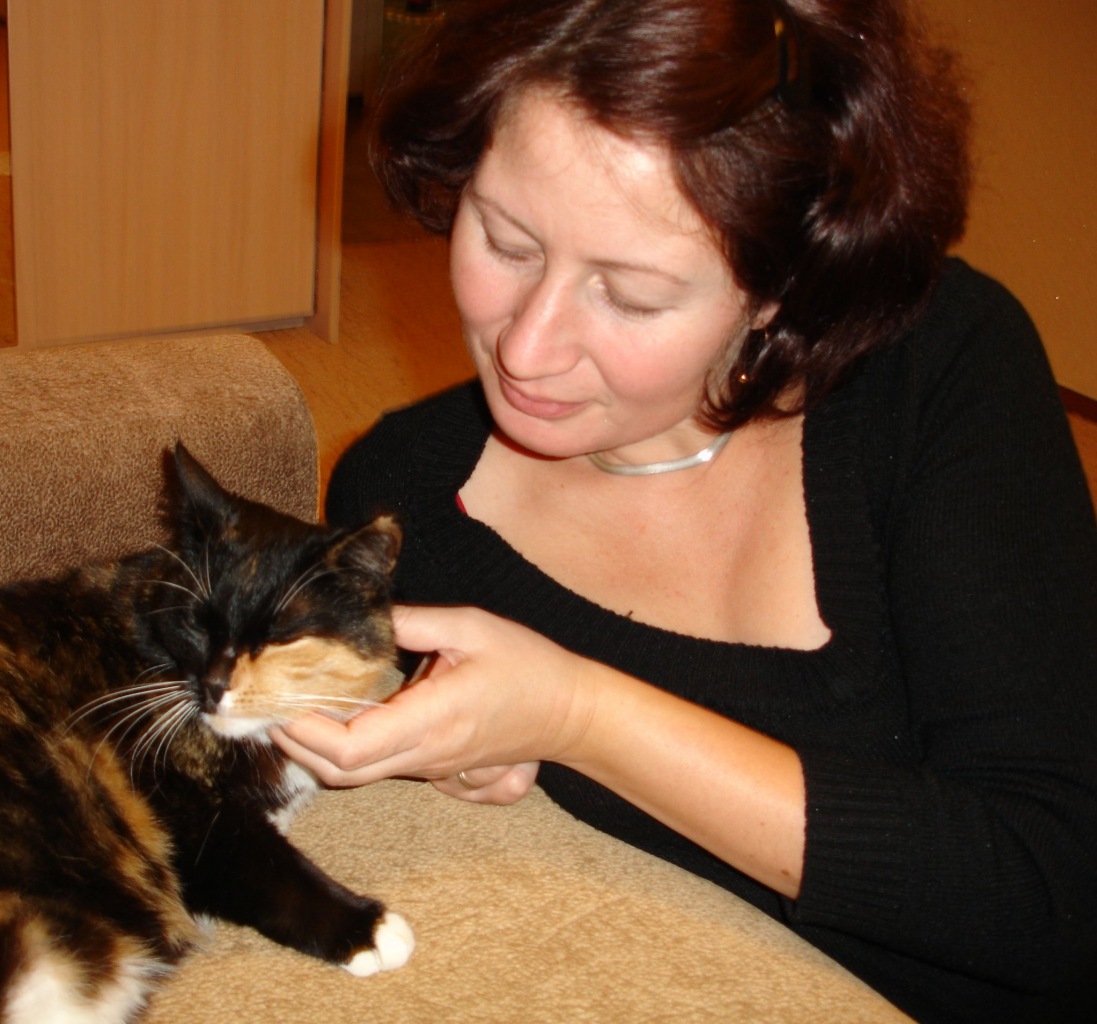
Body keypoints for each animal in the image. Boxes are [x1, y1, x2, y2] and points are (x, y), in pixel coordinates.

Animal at [0, 444, 414, 1024]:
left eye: (277, 636)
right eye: (200, 622)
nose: (214, 684)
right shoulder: (181, 807)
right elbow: (263, 867)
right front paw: (368, 929)